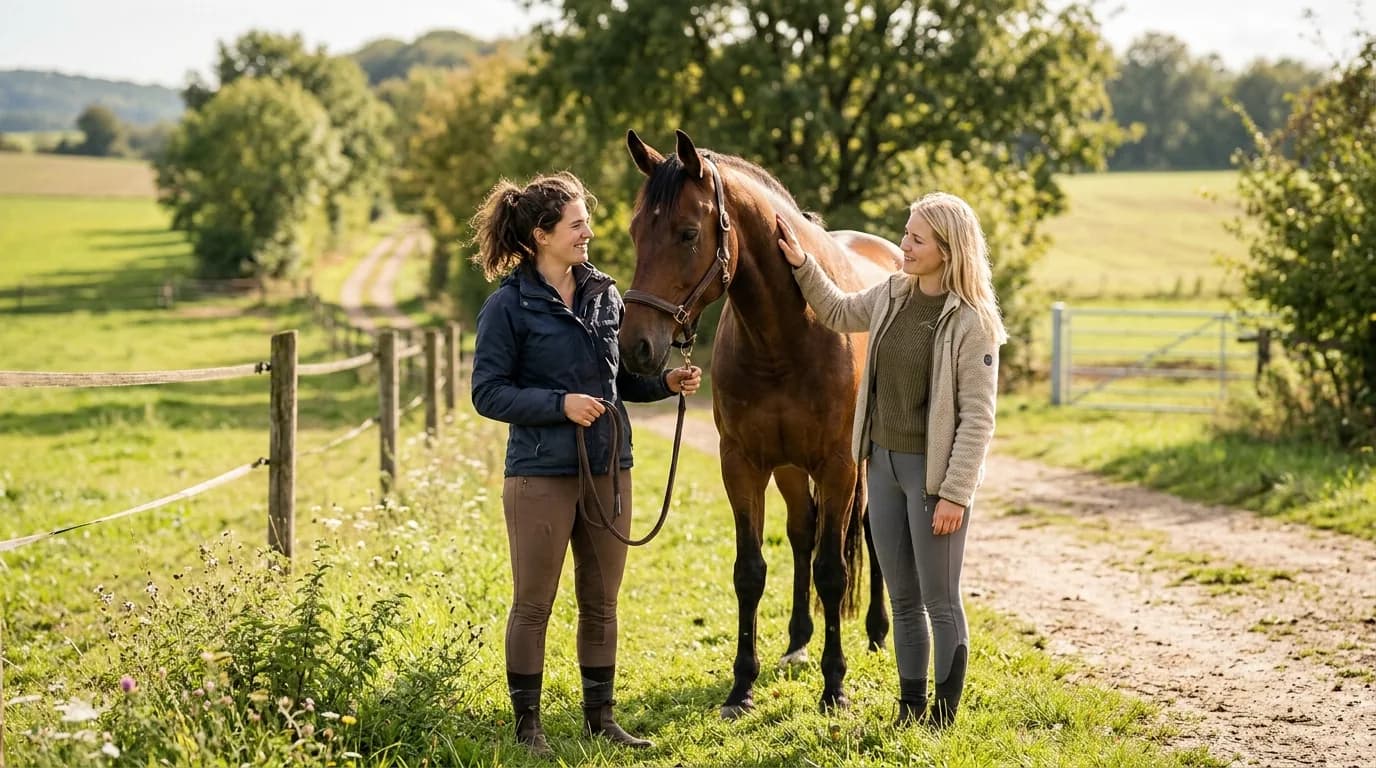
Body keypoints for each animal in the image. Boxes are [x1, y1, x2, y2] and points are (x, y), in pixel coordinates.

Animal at [619, 129, 900, 717]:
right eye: (636, 232)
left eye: (687, 233)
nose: (636, 347)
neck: (788, 333)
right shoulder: (743, 464)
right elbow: (750, 572)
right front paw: (741, 687)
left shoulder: (838, 466)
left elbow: (833, 572)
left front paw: (835, 688)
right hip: (791, 469)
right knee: (802, 532)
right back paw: (797, 641)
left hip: (862, 465)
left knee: (865, 531)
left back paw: (876, 632)